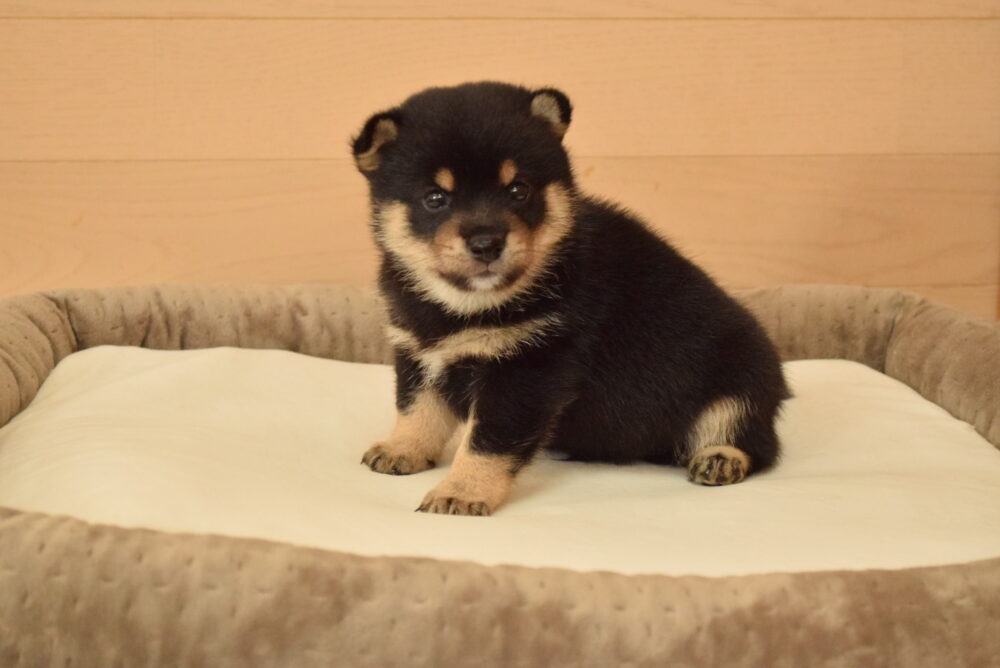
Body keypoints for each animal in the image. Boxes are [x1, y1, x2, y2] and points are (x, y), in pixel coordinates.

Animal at [352, 82, 788, 516]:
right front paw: (402, 449)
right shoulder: (418, 353)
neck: (464, 306)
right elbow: (416, 408)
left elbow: (486, 442)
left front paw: (461, 491)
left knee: (752, 438)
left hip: (743, 378)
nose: (487, 243)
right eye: (435, 198)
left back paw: (720, 457)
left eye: (519, 190)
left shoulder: (527, 369)